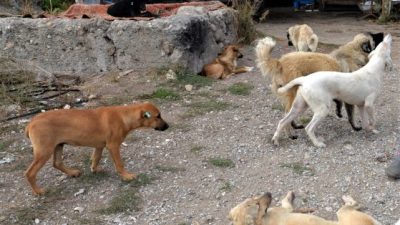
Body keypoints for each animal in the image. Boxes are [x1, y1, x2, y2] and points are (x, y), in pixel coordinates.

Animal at [24, 102, 169, 195]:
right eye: (158, 116)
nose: (168, 126)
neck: (123, 116)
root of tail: (31, 123)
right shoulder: (113, 146)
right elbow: (119, 164)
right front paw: (127, 176)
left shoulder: (99, 146)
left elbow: (96, 158)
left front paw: (94, 169)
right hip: (44, 151)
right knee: (30, 173)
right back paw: (39, 191)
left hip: (58, 145)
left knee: (57, 163)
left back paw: (72, 172)